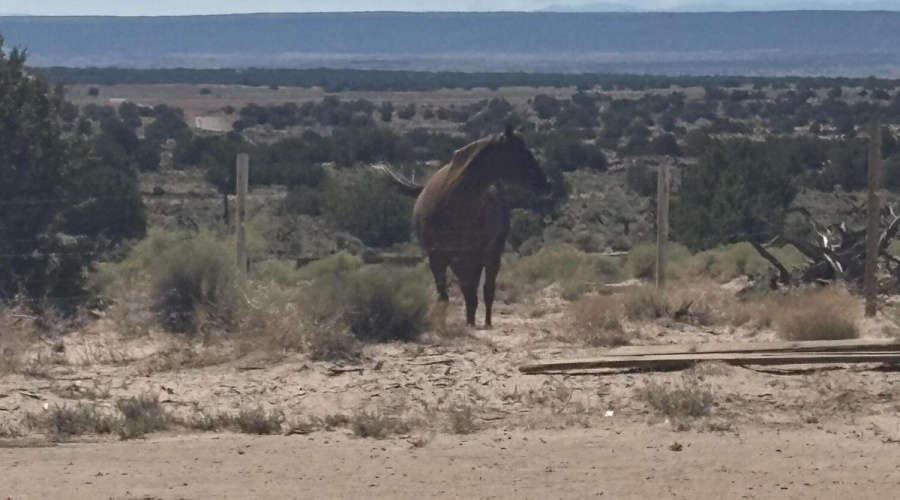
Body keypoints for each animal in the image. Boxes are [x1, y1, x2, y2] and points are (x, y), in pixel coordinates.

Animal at [375, 126, 552, 328]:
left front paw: (471, 323)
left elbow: (473, 293)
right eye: (518, 154)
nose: (546, 184)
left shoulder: (473, 256)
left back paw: (485, 322)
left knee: (486, 289)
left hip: (491, 253)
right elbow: (445, 296)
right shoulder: (437, 256)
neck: (453, 202)